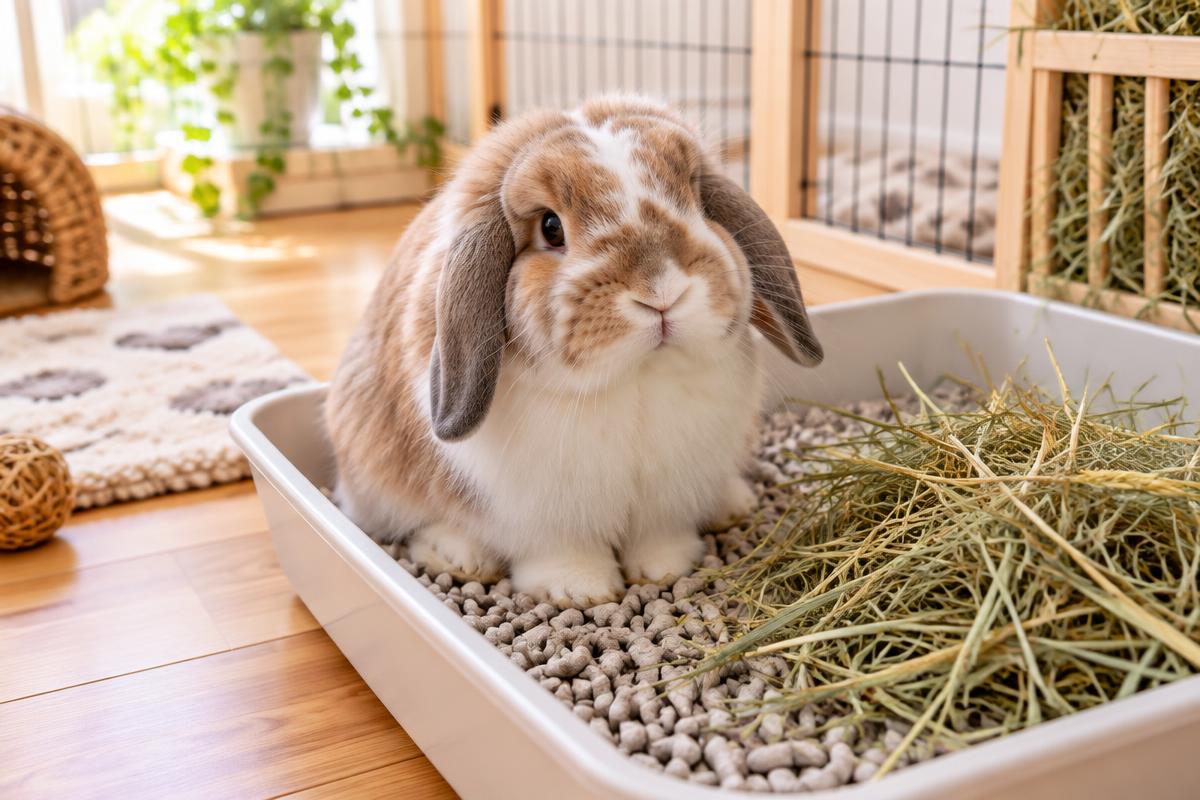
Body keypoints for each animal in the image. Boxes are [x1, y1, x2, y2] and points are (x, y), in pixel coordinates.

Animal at [326, 96, 823, 606]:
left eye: (697, 203)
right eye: (551, 227)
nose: (662, 292)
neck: (637, 379)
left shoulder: (665, 499)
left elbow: (659, 538)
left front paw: (664, 568)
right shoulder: (541, 516)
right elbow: (563, 552)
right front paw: (579, 591)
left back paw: (733, 503)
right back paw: (459, 558)